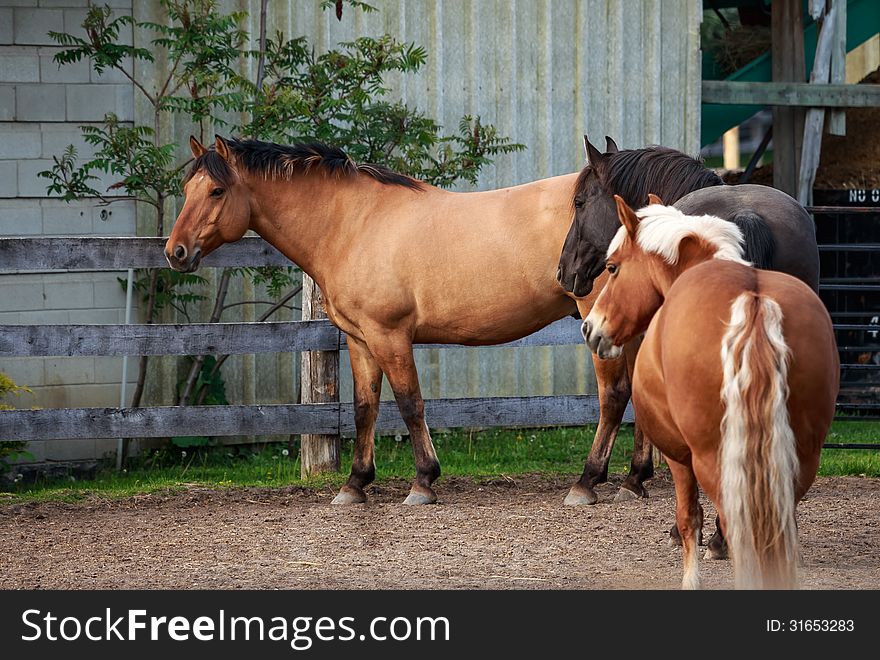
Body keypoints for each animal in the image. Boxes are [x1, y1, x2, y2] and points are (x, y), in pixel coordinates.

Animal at [167, 134, 620, 506]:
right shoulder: (360, 339)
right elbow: (364, 407)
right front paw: (354, 485)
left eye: (216, 190)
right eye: (187, 189)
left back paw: (586, 483)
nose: (176, 252)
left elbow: (409, 403)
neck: (351, 225)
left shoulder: (389, 335)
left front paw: (422, 482)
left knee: (612, 396)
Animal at [584, 196, 840, 588]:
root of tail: (754, 302)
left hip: (712, 457)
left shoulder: (680, 457)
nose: (590, 327)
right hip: (799, 460)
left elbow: (689, 517)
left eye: (612, 268)